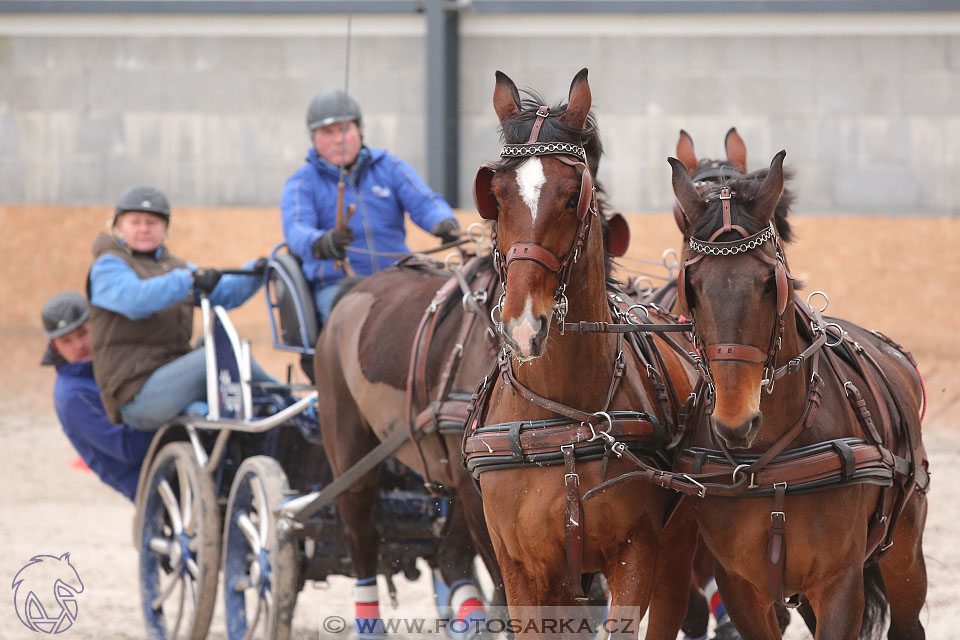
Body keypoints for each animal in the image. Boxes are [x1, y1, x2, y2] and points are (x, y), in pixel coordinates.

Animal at [668, 151, 928, 640]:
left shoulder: (839, 583)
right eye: (690, 287)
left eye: (771, 283)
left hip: (903, 550)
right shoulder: (740, 587)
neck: (772, 463)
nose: (737, 422)